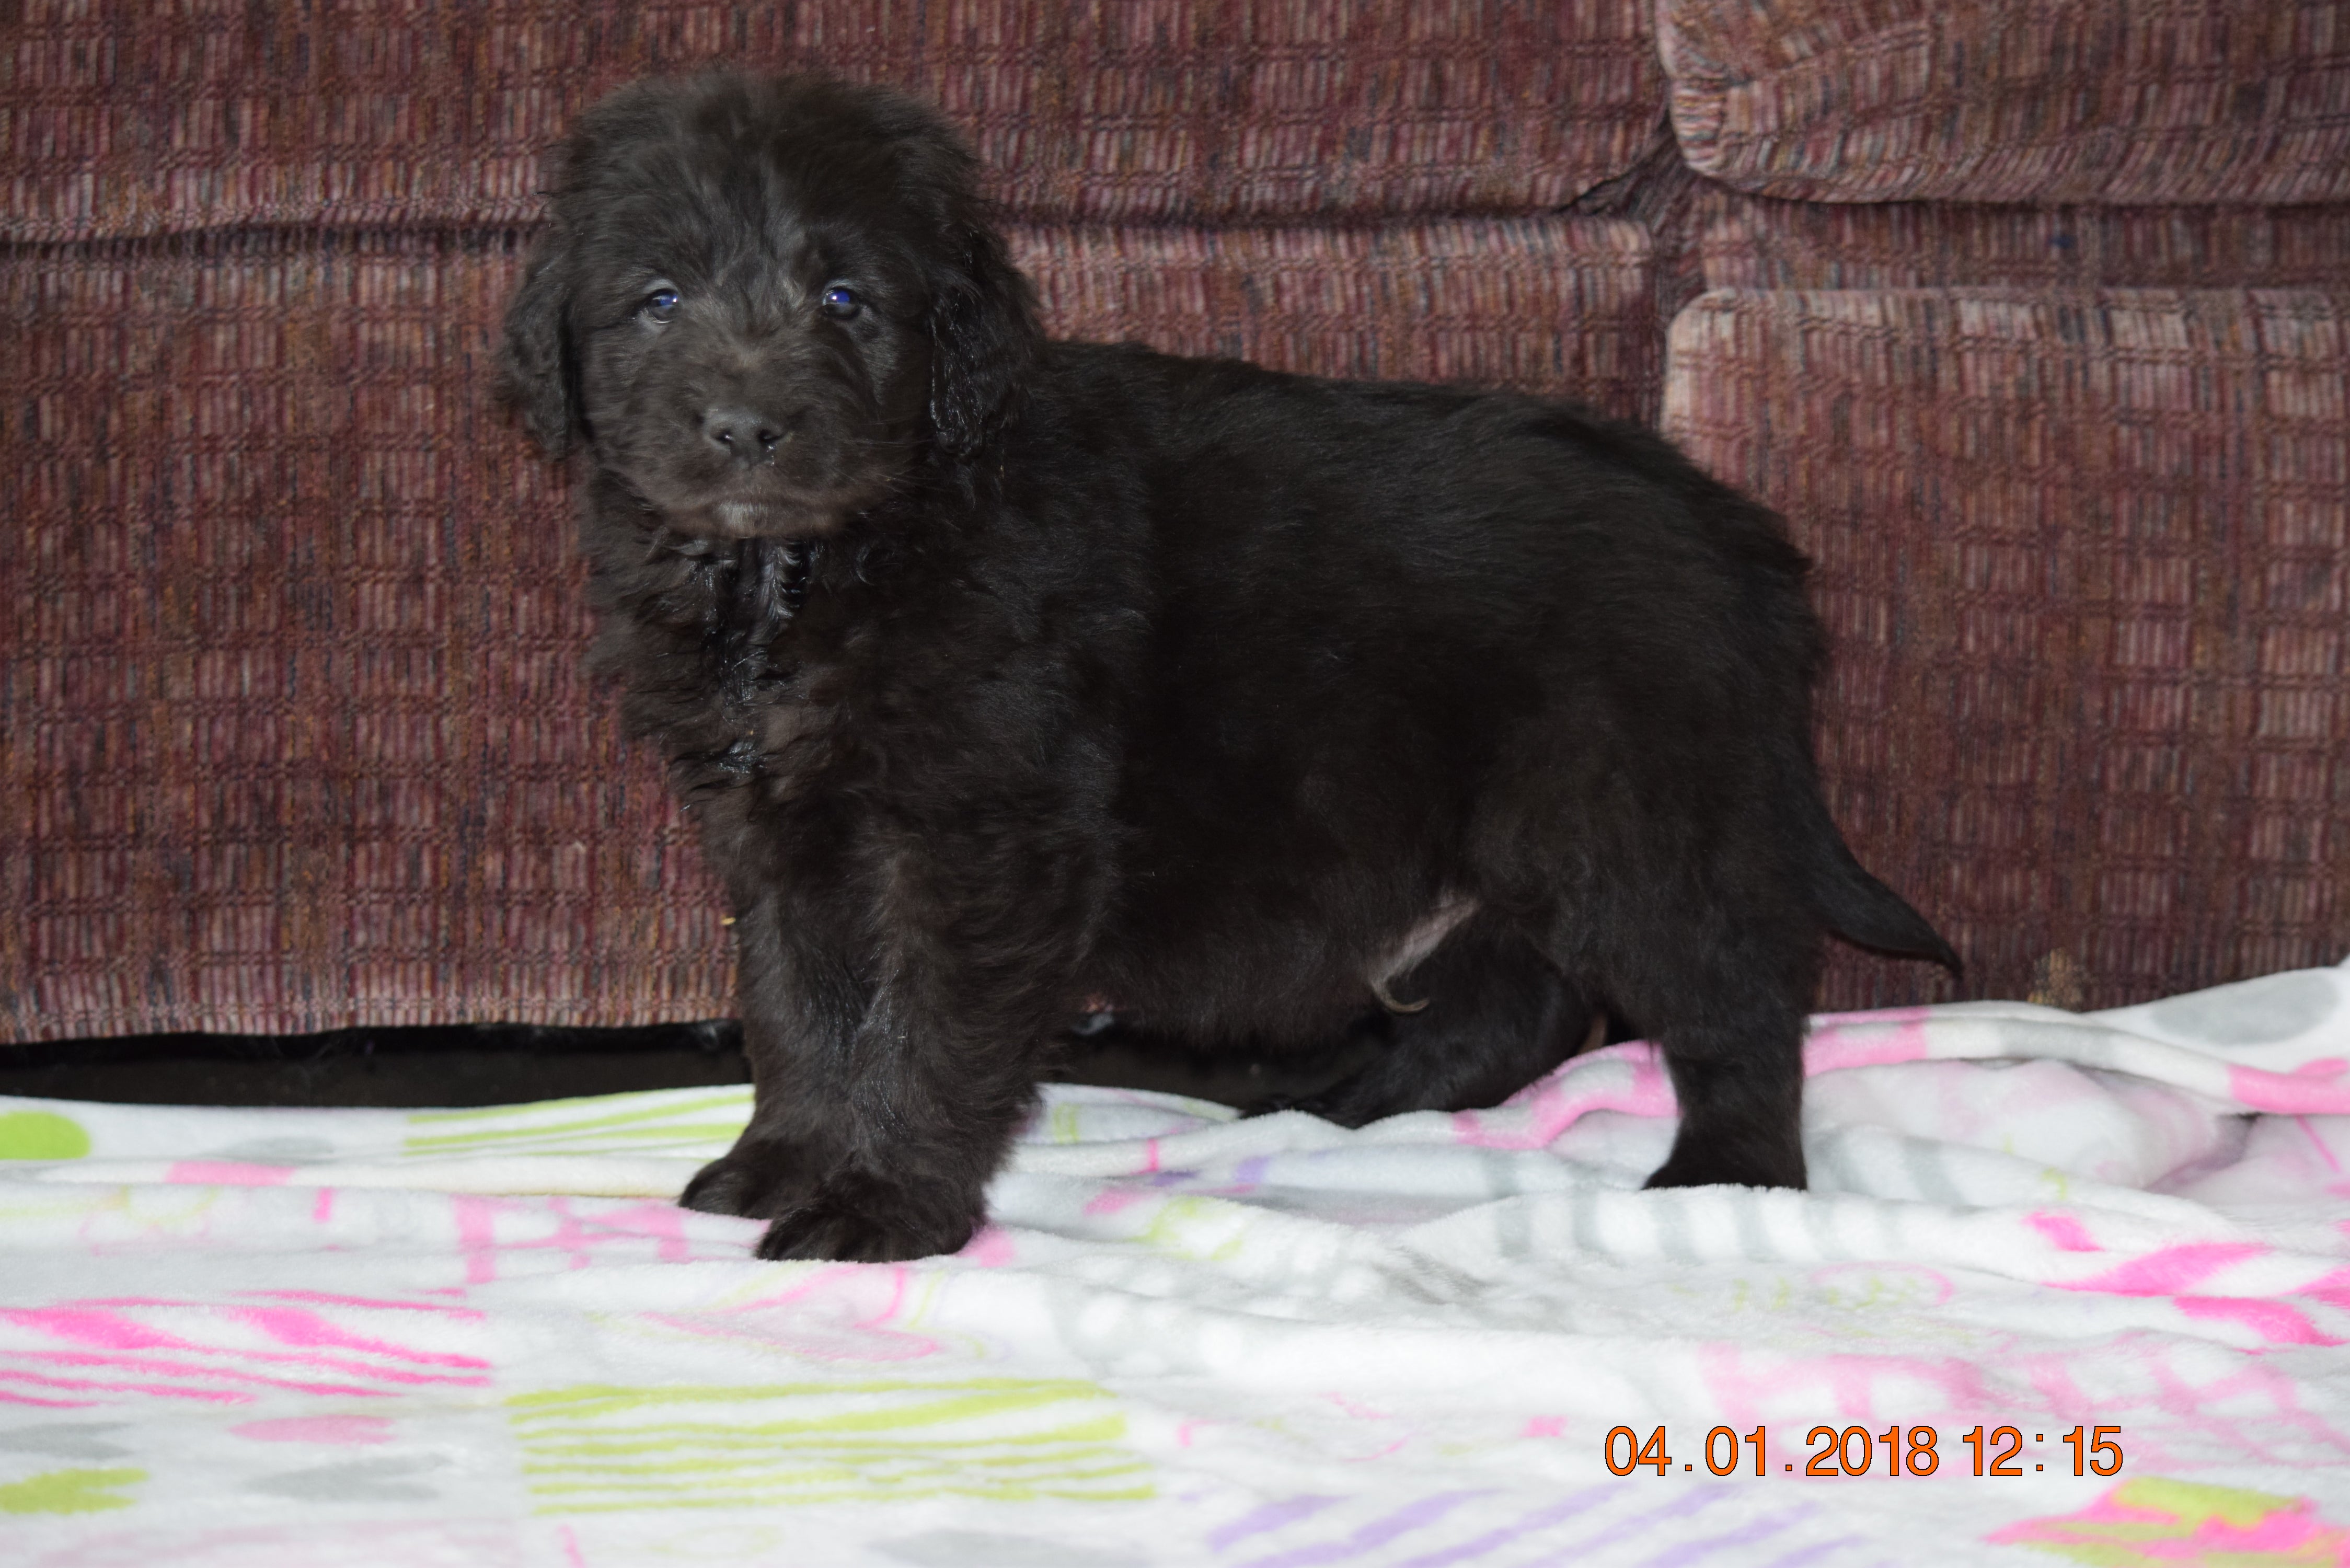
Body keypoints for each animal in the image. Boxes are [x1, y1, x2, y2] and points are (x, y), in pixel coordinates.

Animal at [500, 70, 1964, 1260]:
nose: (747, 426)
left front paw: (882, 1207)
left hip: (1627, 809)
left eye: (845, 300)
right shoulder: (781, 829)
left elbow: (922, 1030)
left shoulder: (983, 832)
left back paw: (1727, 1177)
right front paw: (783, 1163)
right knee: (1519, 1003)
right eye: (659, 302)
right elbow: (798, 1010)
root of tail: (1728, 527)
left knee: (1736, 992)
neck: (819, 565)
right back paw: (1354, 1109)